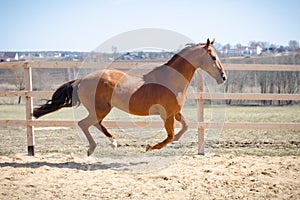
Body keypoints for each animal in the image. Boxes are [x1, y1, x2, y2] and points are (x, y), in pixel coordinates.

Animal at [32, 38, 226, 155]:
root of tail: (82, 80)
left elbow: (184, 128)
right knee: (84, 123)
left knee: (95, 123)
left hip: (101, 109)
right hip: (101, 109)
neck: (171, 80)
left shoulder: (175, 113)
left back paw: (113, 142)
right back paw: (92, 149)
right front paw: (150, 147)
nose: (223, 77)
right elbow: (170, 135)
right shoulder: (167, 115)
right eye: (213, 57)